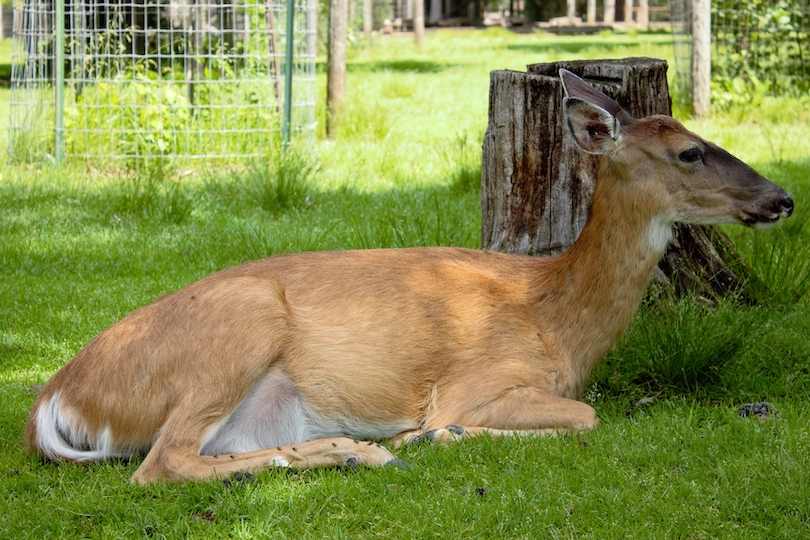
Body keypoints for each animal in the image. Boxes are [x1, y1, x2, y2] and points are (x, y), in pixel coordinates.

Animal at [23, 68, 788, 486]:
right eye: (690, 152)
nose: (781, 197)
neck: (556, 319)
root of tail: (56, 395)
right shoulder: (475, 382)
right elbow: (584, 416)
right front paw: (433, 436)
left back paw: (350, 450)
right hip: (239, 327)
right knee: (160, 464)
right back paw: (371, 452)